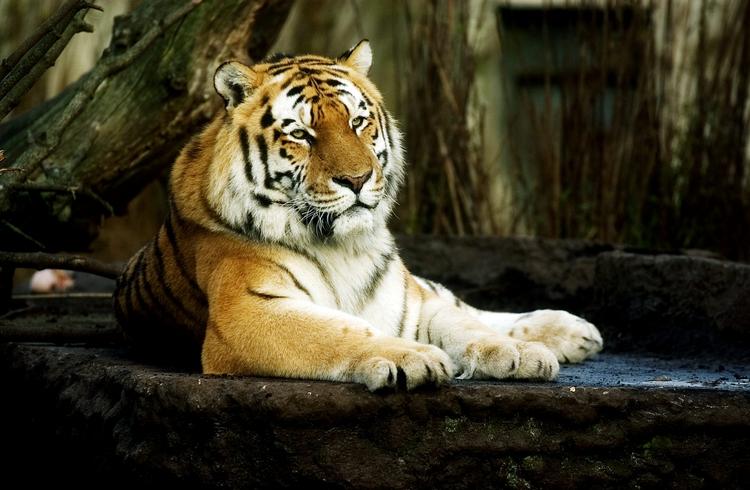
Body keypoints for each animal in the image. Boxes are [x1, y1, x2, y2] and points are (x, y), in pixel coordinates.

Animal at [113, 40, 603, 390]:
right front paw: (413, 357)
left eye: (357, 122)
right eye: (301, 134)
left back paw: (573, 332)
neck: (341, 246)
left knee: (466, 304)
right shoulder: (248, 312)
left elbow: (462, 322)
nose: (357, 179)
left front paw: (519, 353)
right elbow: (339, 332)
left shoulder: (407, 300)